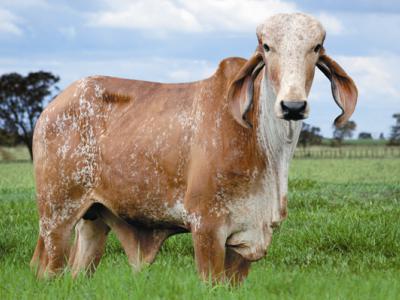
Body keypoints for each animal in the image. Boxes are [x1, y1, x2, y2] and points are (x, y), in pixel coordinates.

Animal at [30, 12, 356, 284]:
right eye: (266, 46)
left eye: (316, 46)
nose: (293, 106)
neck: (264, 145)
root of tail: (52, 107)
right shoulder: (206, 228)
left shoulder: (244, 239)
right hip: (56, 217)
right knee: (46, 269)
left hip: (93, 220)